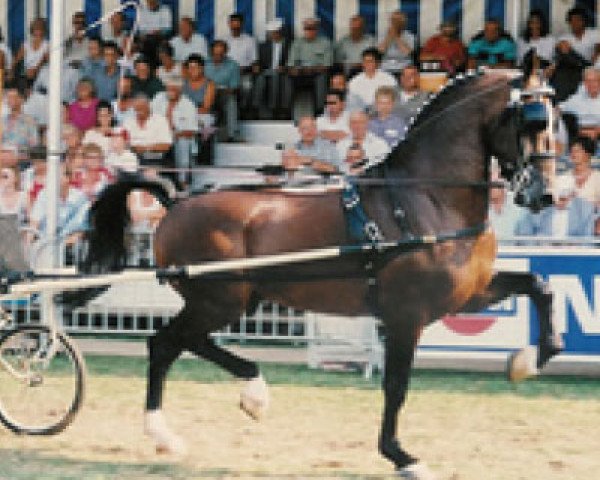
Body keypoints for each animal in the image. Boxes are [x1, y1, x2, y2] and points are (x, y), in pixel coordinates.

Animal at [79, 69, 564, 478]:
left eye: (555, 121)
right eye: (532, 122)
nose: (547, 195)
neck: (425, 198)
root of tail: (177, 201)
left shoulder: (467, 293)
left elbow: (539, 286)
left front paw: (527, 361)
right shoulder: (406, 315)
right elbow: (396, 386)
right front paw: (401, 456)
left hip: (235, 300)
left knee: (184, 342)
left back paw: (242, 398)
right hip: (220, 300)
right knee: (165, 344)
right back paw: (179, 426)